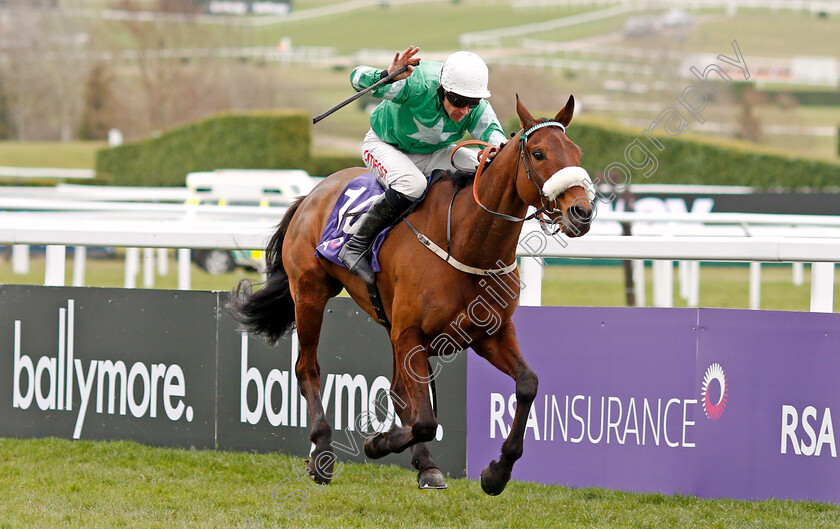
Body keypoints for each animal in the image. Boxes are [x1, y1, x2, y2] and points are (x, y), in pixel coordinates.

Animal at [230, 96, 592, 496]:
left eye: (576, 151)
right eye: (540, 153)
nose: (582, 212)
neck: (466, 244)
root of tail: (312, 193)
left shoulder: (489, 333)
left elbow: (527, 384)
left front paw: (496, 472)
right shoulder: (410, 333)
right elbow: (425, 420)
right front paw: (376, 443)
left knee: (398, 392)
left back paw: (425, 465)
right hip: (310, 293)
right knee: (308, 368)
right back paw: (322, 453)